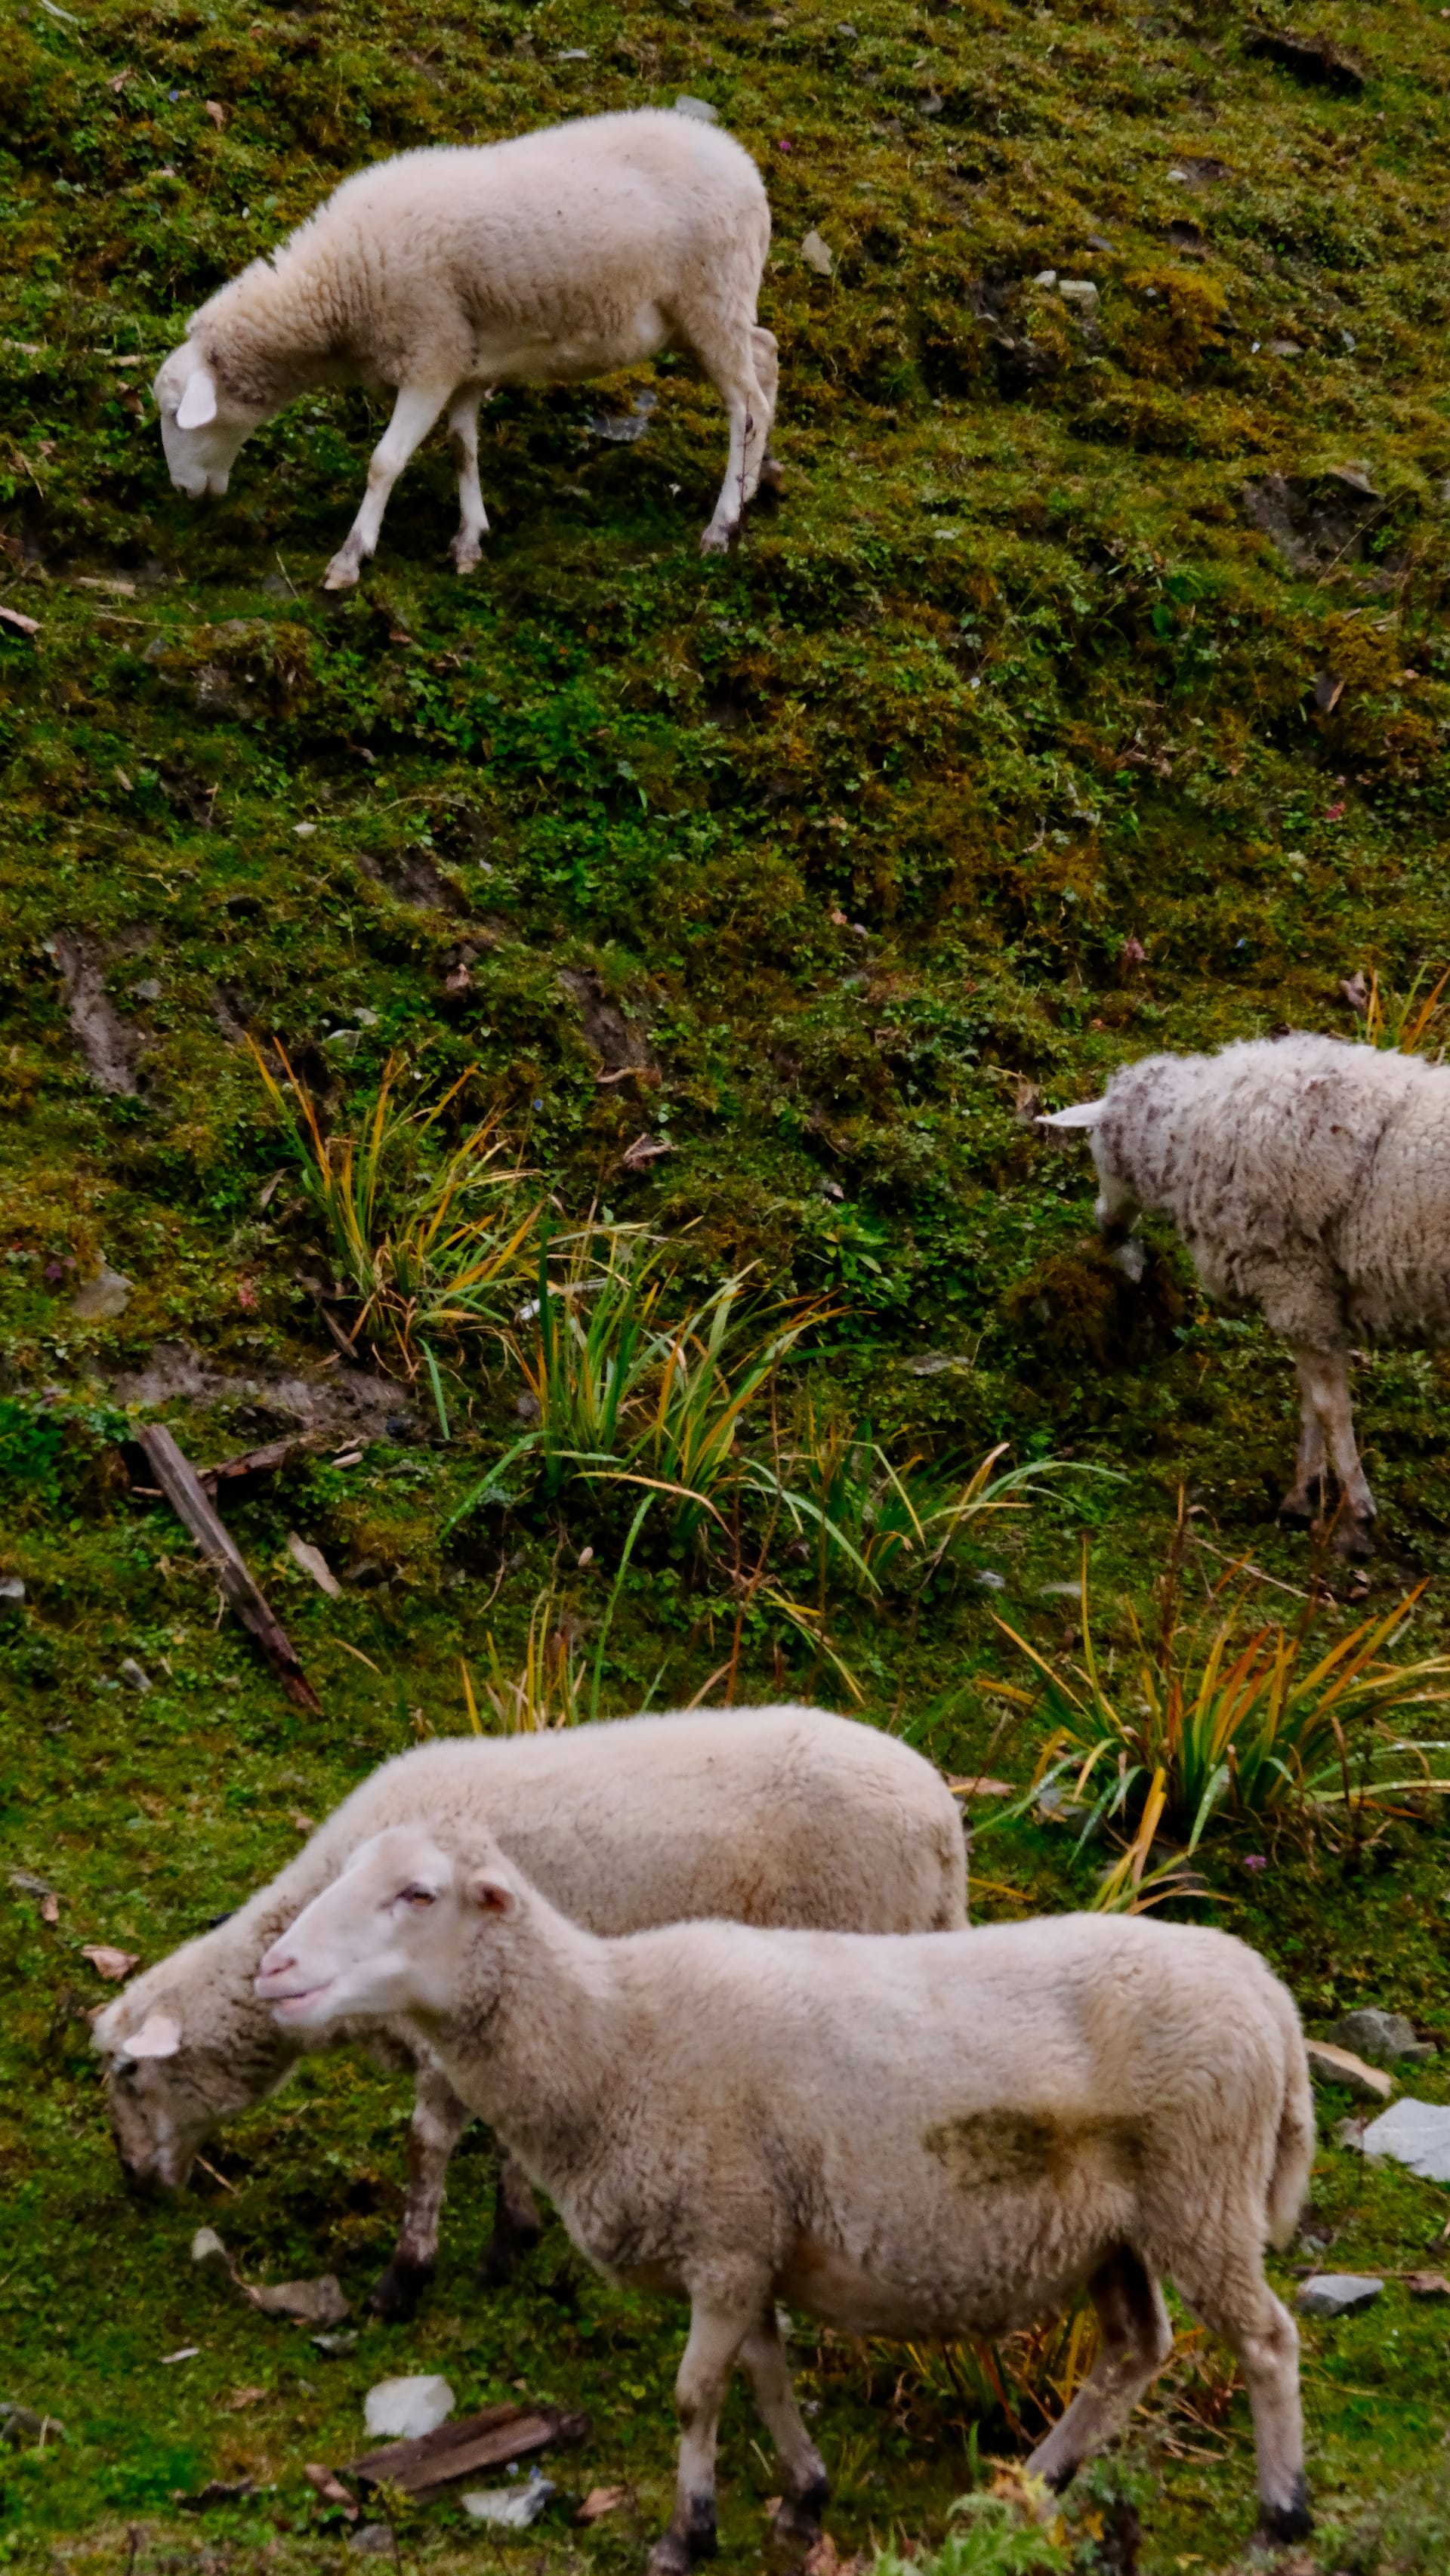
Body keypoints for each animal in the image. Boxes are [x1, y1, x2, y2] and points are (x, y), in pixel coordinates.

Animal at [93, 1704, 966, 2320]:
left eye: (130, 2073)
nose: (134, 2182)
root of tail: (942, 1819)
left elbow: (427, 2146)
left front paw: (404, 2279)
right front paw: (510, 2237)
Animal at [152, 110, 779, 588]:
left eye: (174, 413)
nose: (181, 492)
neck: (337, 291)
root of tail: (744, 164)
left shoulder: (432, 354)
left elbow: (385, 461)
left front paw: (350, 556)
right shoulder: (467, 362)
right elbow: (462, 448)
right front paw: (470, 538)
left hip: (713, 295)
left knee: (746, 406)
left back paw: (722, 525)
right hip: (710, 309)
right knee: (766, 358)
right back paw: (748, 491)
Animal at [258, 1825, 1315, 2565]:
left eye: (418, 1893)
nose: (275, 1969)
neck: (615, 2042)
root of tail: (1267, 1990)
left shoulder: (726, 2237)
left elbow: (695, 2395)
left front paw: (685, 2534)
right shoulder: (750, 2239)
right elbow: (765, 2378)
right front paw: (803, 2497)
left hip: (1199, 2194)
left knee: (1266, 2342)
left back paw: (1280, 2518)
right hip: (1116, 2229)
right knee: (1136, 2349)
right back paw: (1036, 2482)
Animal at [1040, 1032, 1450, 1557]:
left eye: (1096, 1148)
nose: (1105, 1227)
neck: (1189, 1134)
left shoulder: (1293, 1282)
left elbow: (1328, 1406)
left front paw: (1355, 1514)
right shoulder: (1306, 1298)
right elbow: (1310, 1399)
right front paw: (1301, 1500)